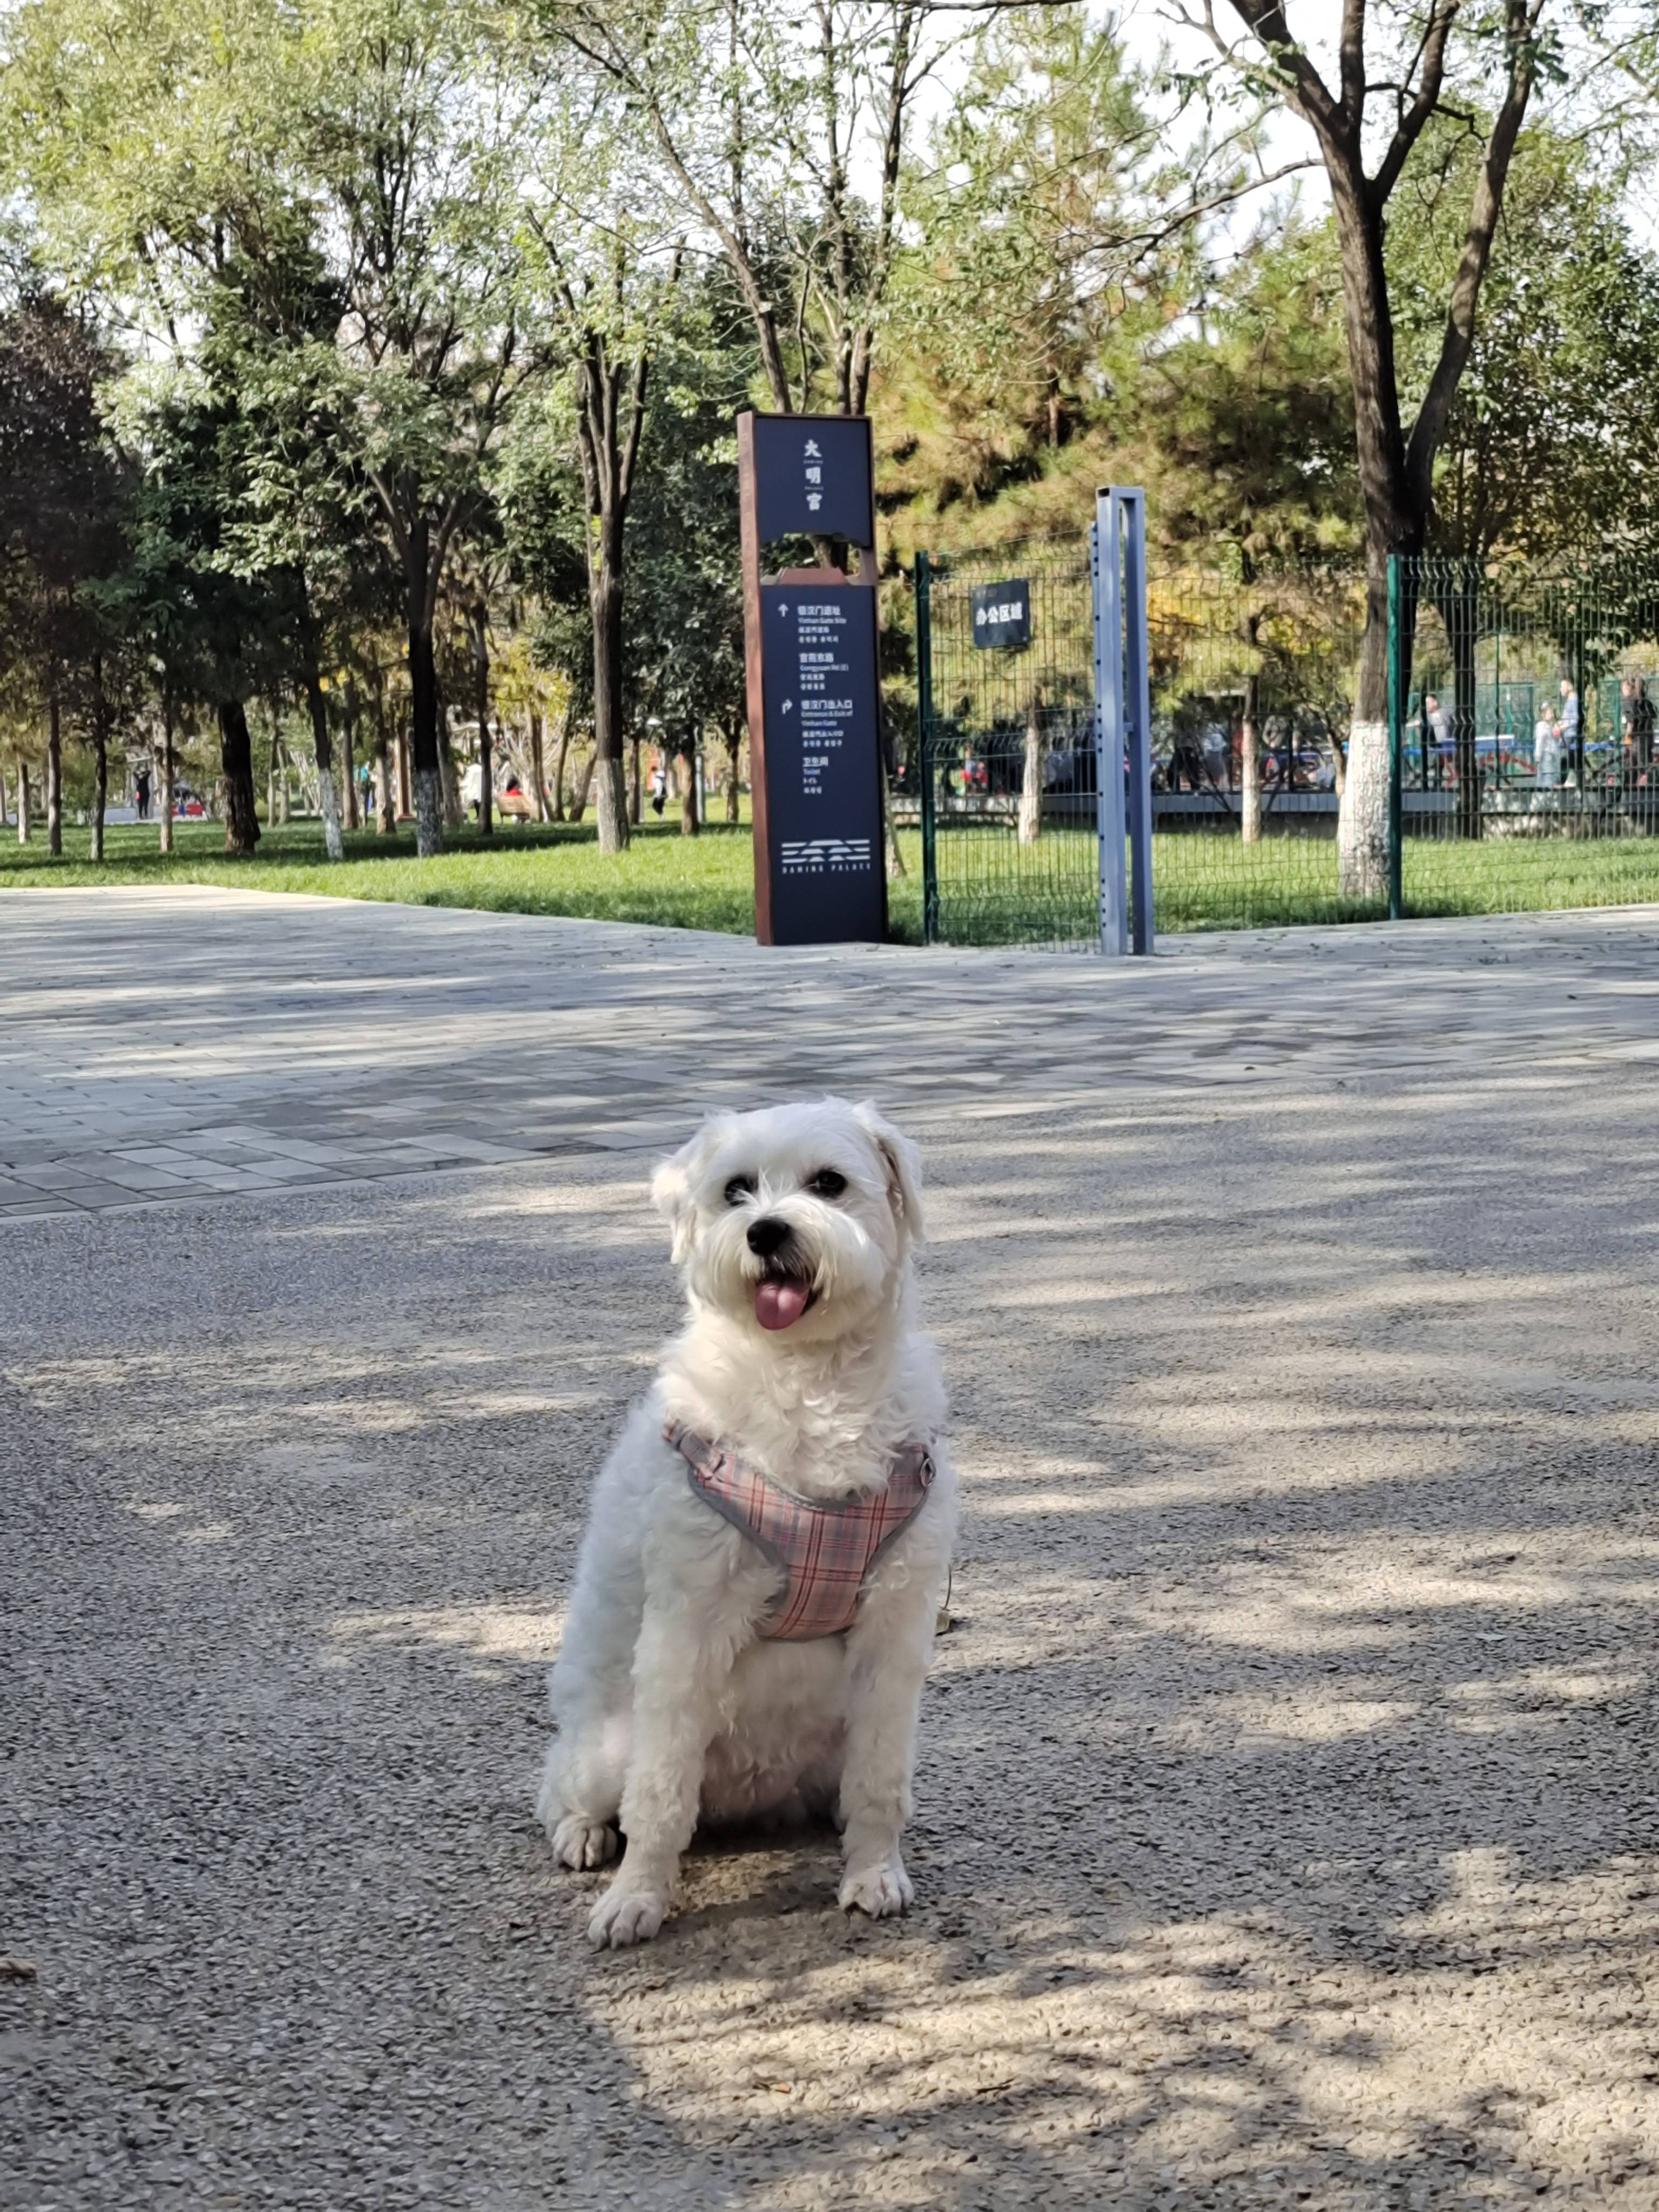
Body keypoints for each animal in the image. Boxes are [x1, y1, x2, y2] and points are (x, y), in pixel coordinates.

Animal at [542, 1097, 960, 1946]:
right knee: (566, 1790)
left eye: (829, 1183)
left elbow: (880, 1781)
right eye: (736, 1190)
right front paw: (637, 1898)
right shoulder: (687, 1626)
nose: (765, 1231)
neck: (809, 1381)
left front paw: (875, 1871)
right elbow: (660, 1795)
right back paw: (585, 1833)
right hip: (605, 1746)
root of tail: (748, 1800)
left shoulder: (895, 1627)